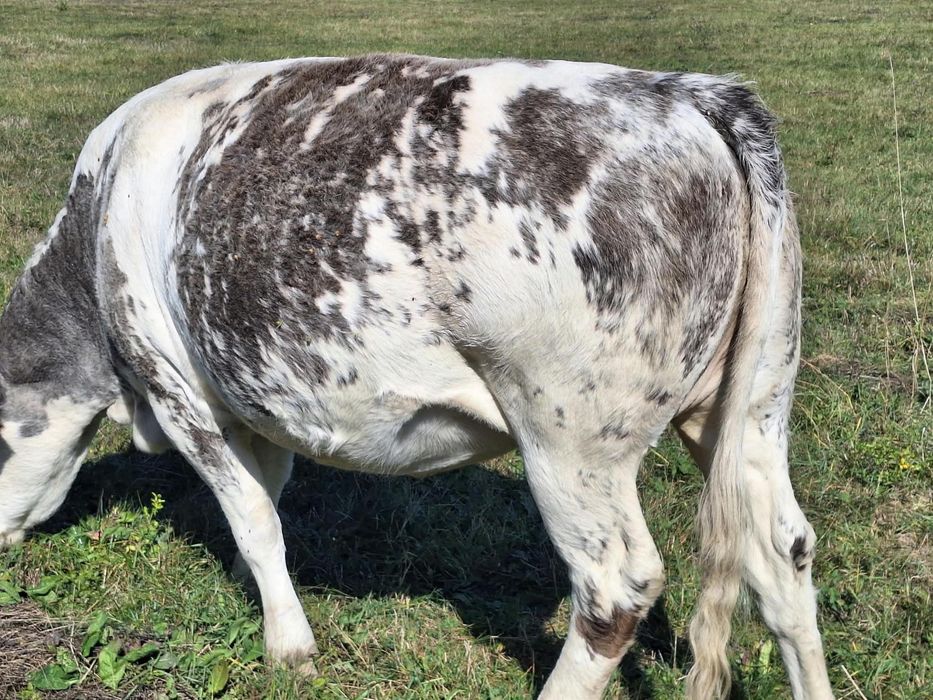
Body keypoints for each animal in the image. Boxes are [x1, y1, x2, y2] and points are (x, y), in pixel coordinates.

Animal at [0, 54, 833, 698]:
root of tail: (688, 93)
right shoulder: (254, 390)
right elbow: (267, 495)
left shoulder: (176, 389)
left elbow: (254, 516)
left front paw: (287, 646)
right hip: (747, 406)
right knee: (781, 549)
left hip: (570, 437)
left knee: (614, 587)